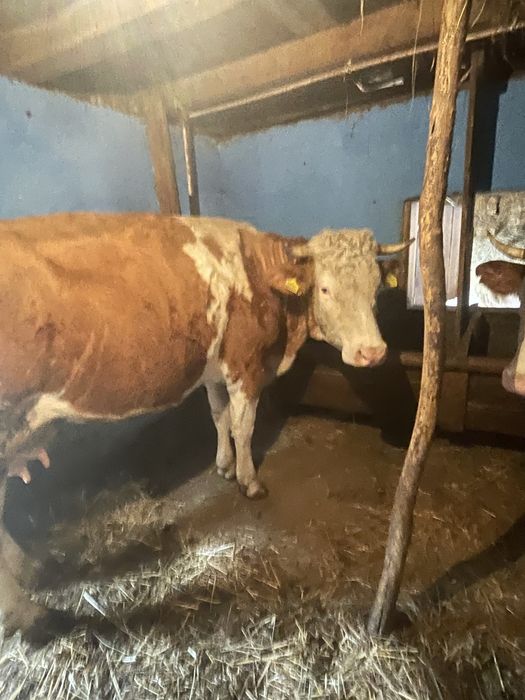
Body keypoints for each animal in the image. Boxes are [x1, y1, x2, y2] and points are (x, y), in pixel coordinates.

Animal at [0, 212, 410, 635]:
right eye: (325, 289)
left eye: (376, 288)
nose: (372, 352)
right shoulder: (245, 365)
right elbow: (244, 426)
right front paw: (249, 481)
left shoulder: (216, 372)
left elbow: (219, 416)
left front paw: (224, 466)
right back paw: (25, 611)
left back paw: (29, 566)